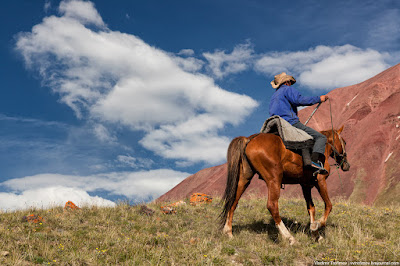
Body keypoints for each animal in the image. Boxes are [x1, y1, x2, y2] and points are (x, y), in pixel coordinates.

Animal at [220, 125, 348, 244]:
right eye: (344, 142)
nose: (346, 165)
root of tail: (249, 139)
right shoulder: (320, 181)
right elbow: (329, 205)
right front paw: (317, 225)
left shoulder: (305, 185)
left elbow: (311, 208)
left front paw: (315, 234)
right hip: (274, 179)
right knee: (272, 206)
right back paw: (289, 238)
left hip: (244, 179)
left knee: (233, 202)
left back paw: (228, 232)